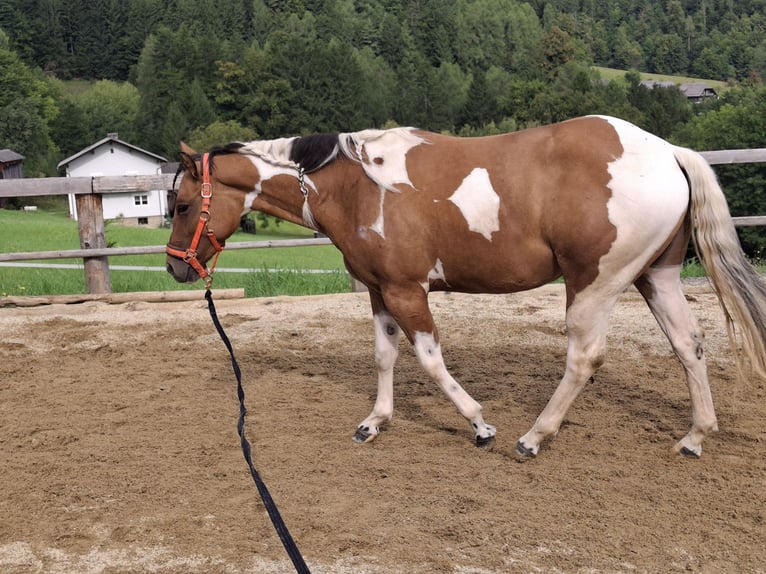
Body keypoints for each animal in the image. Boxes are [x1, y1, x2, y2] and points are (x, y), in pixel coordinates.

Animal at [166, 115, 766, 458]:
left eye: (182, 204)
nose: (177, 268)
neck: (358, 187)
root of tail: (667, 153)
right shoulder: (379, 291)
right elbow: (384, 356)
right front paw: (374, 423)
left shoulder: (407, 290)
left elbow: (430, 360)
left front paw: (480, 425)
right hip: (655, 277)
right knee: (689, 346)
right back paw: (694, 437)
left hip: (596, 285)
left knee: (584, 357)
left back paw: (533, 438)